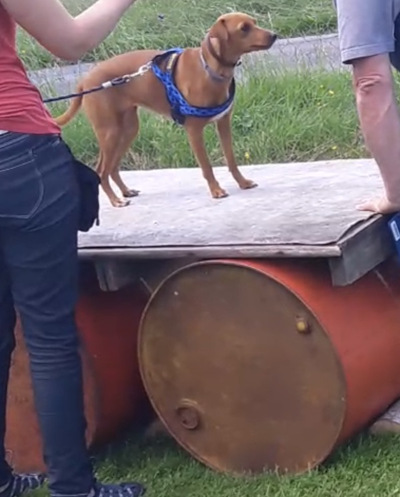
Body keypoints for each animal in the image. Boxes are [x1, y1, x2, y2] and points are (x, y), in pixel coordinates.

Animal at [54, 13, 276, 207]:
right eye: (244, 28)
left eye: (254, 23)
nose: (274, 35)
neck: (210, 68)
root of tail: (85, 81)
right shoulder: (194, 131)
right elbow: (206, 166)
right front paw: (215, 190)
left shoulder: (223, 124)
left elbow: (231, 159)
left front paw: (242, 182)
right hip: (110, 132)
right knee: (101, 170)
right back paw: (116, 200)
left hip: (128, 129)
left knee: (113, 167)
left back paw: (125, 191)